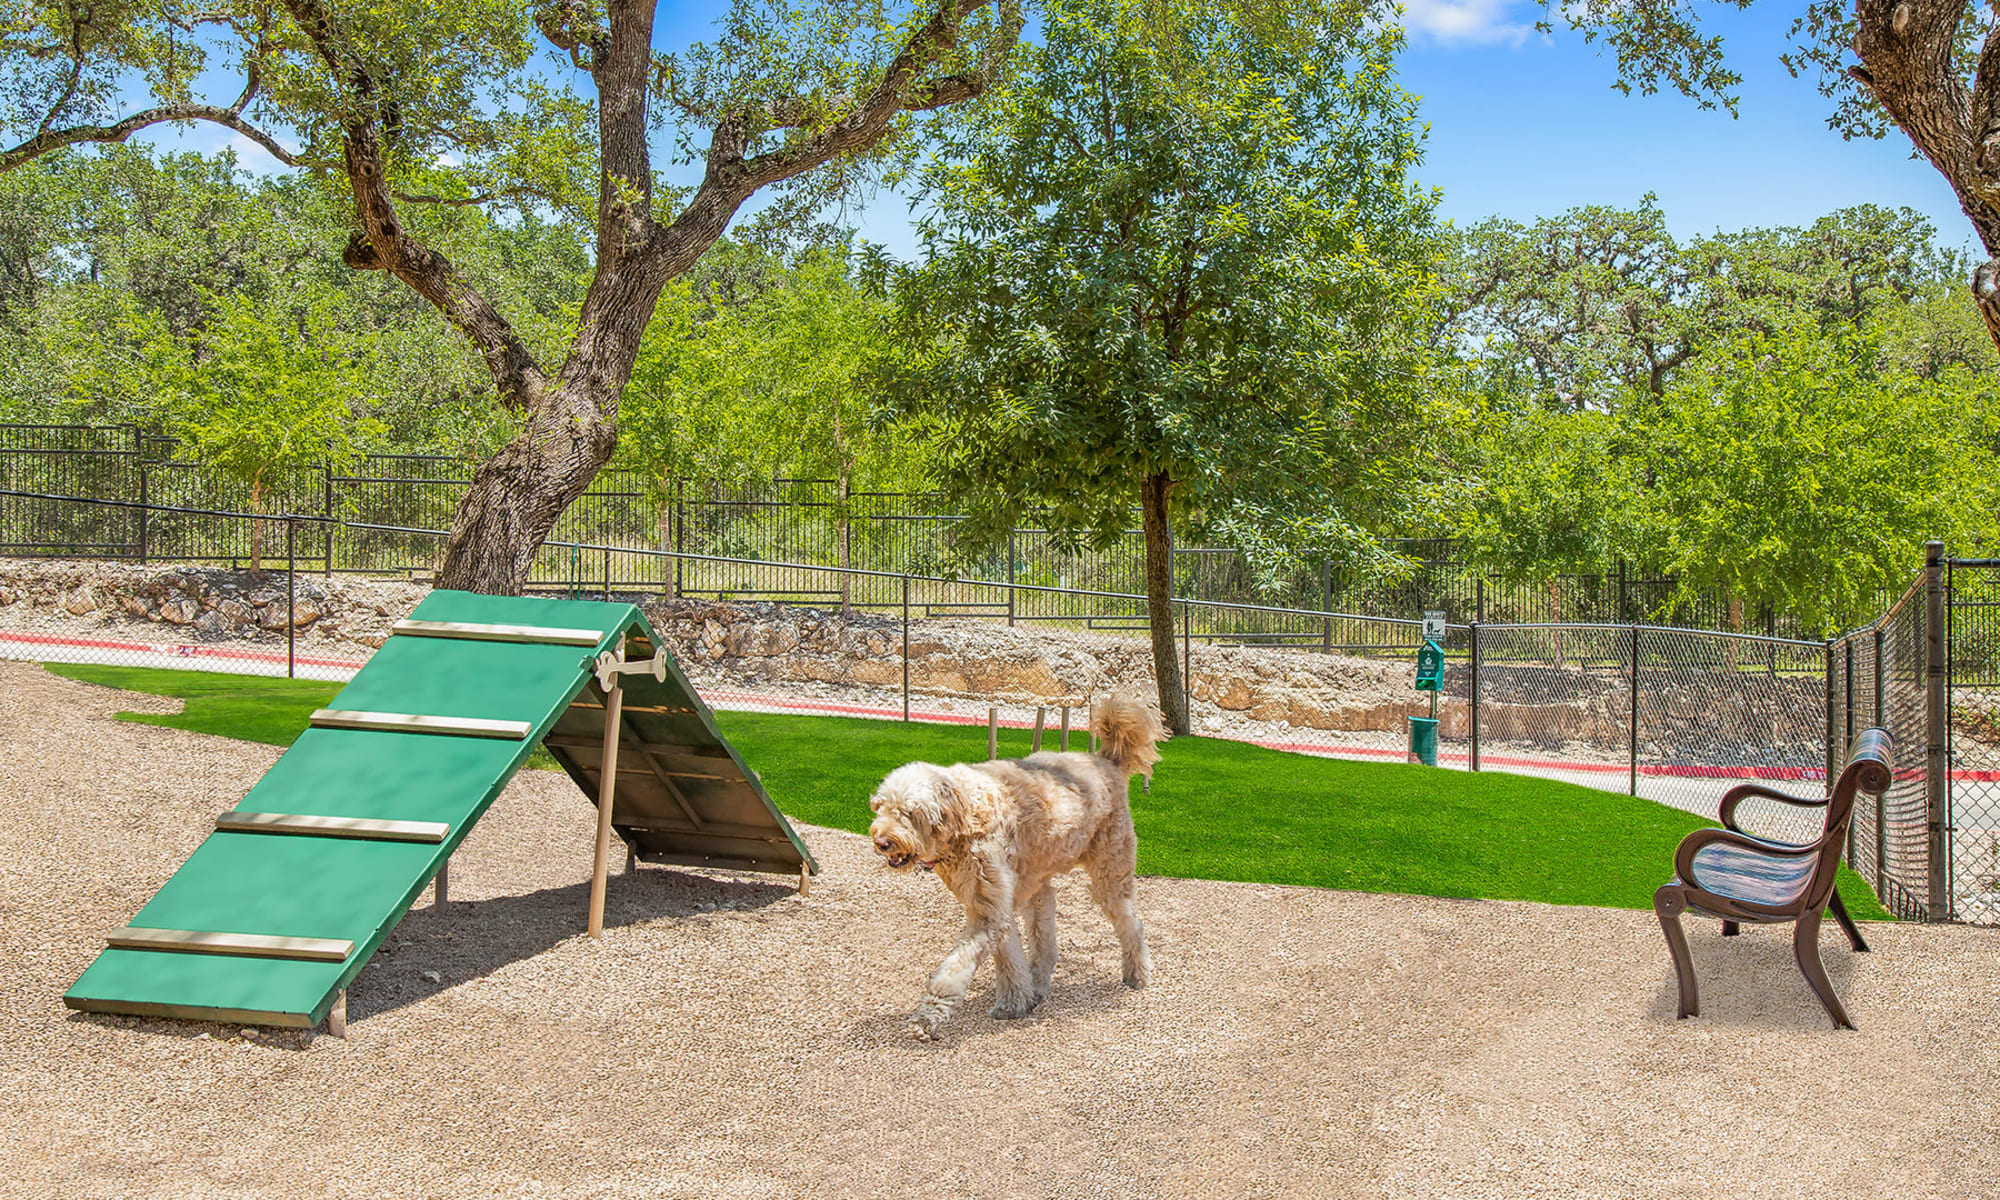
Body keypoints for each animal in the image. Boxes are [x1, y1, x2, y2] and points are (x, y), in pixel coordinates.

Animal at [868, 692, 1168, 1040]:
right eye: (880, 806)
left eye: (910, 813)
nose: (882, 841)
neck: (966, 816)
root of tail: (1105, 760)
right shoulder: (993, 905)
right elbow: (1009, 956)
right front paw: (1015, 1003)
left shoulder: (988, 912)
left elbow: (953, 970)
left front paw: (927, 1017)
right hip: (1036, 884)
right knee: (1045, 940)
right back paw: (1038, 988)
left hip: (1109, 873)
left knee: (1132, 923)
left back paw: (1137, 974)